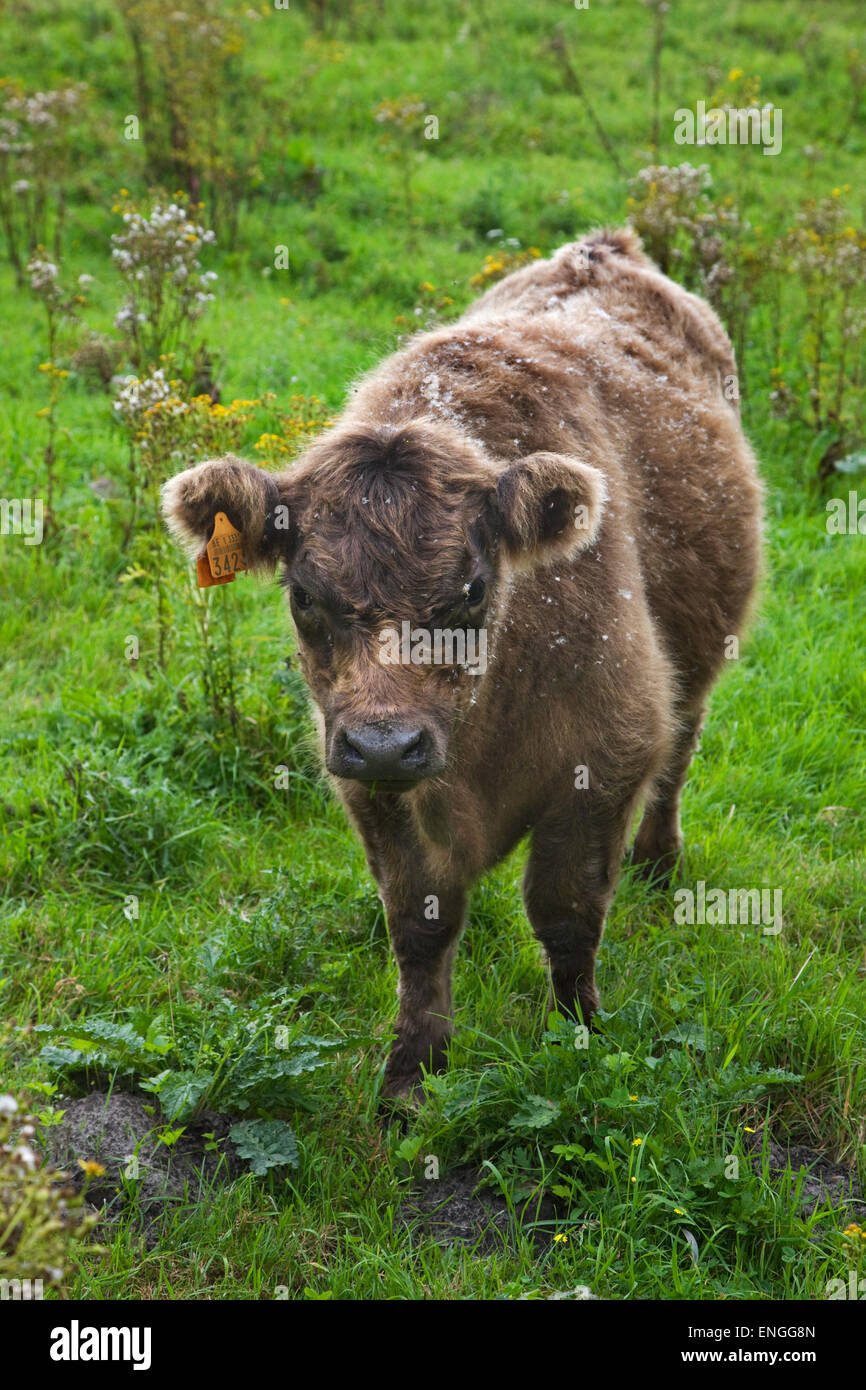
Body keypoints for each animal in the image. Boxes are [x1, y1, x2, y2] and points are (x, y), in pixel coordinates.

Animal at [163, 228, 763, 1104]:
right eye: (303, 593)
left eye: (473, 589)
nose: (387, 743)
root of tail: (604, 248)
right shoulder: (367, 785)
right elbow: (421, 923)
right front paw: (411, 1075)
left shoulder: (610, 753)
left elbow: (566, 911)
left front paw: (580, 1035)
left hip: (698, 663)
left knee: (682, 747)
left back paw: (658, 858)